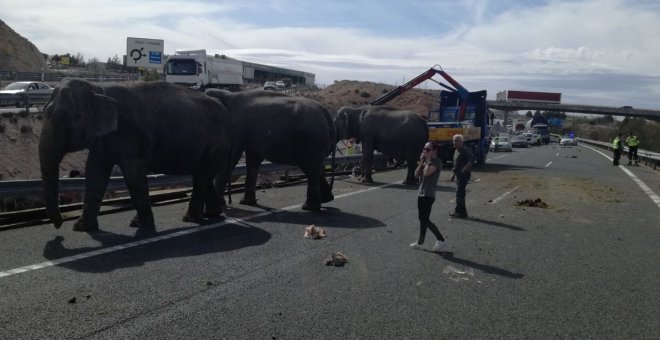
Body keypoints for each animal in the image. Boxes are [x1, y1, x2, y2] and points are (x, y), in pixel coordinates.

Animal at [38, 79, 235, 231]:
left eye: (75, 117)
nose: (58, 225)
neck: (98, 90)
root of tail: (226, 112)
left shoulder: (130, 134)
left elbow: (133, 172)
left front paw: (141, 224)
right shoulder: (104, 138)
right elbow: (94, 171)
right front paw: (82, 228)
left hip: (215, 145)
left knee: (201, 176)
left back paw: (190, 218)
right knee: (202, 175)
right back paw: (212, 214)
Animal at [204, 88, 336, 210]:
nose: (229, 202)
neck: (227, 94)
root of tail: (326, 113)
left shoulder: (237, 129)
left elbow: (231, 159)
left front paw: (222, 204)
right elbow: (253, 161)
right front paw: (246, 203)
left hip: (312, 141)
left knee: (310, 169)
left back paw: (308, 207)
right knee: (314, 169)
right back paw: (326, 200)